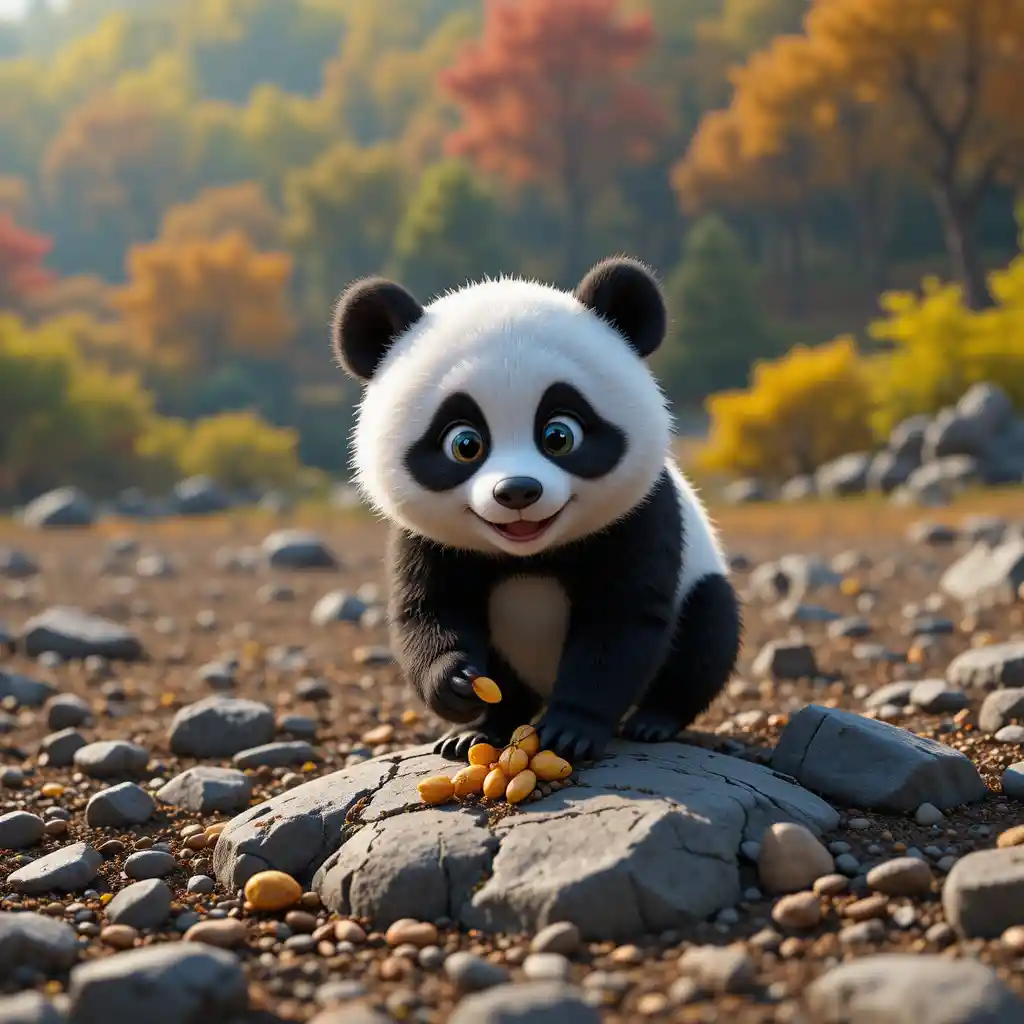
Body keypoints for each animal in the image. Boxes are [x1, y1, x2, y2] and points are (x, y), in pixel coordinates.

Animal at [332, 256, 742, 763]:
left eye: (559, 436)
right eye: (465, 444)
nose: (517, 491)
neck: (528, 555)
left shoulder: (642, 516)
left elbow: (621, 622)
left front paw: (569, 732)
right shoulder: (426, 539)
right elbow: (429, 609)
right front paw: (455, 684)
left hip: (701, 584)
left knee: (709, 630)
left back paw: (654, 720)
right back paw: (482, 731)